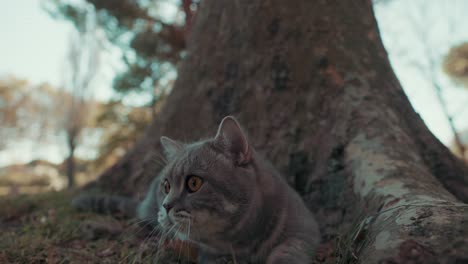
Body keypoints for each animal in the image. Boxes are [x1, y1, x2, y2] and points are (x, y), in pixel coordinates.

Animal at [73, 116, 320, 262]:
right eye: (166, 185)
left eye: (194, 183)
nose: (165, 205)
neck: (243, 242)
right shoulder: (210, 254)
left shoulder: (303, 230)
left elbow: (289, 252)